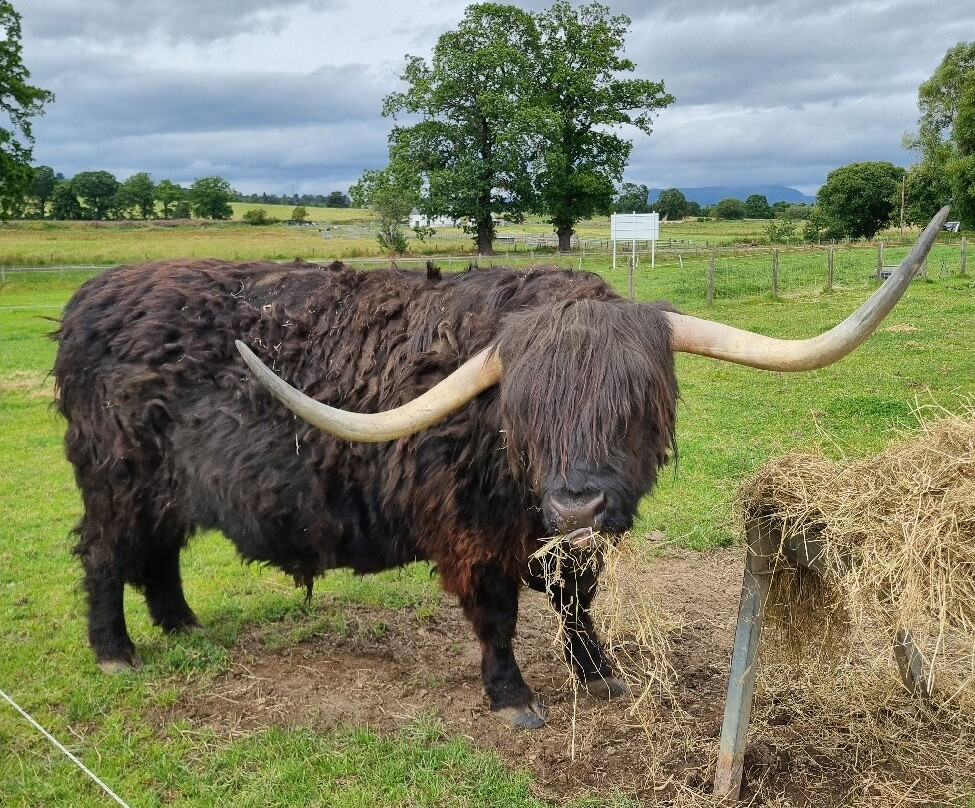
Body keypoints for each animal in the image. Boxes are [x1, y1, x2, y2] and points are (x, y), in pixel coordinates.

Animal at [53, 209, 947, 729]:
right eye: (528, 409)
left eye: (631, 403)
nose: (579, 503)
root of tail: (93, 295)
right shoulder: (472, 532)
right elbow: (496, 615)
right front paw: (513, 697)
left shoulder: (558, 536)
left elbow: (575, 600)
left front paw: (600, 675)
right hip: (116, 480)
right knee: (105, 555)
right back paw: (117, 651)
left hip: (167, 489)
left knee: (159, 556)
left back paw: (183, 626)